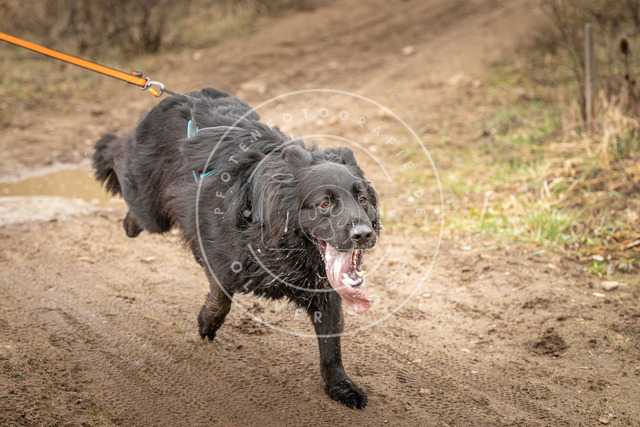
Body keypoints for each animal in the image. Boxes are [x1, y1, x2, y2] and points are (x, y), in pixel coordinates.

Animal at [93, 88, 380, 409]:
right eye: (325, 204)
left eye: (363, 199)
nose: (363, 234)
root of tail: (180, 96)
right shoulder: (220, 257)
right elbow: (222, 298)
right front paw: (207, 323)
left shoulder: (324, 287)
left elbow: (331, 344)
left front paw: (341, 386)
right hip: (151, 206)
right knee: (117, 157)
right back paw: (126, 216)